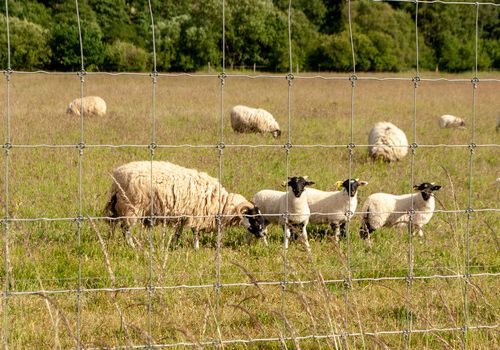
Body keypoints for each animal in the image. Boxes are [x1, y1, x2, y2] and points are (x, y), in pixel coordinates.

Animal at [104, 160, 268, 250]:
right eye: (254, 218)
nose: (265, 234)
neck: (221, 203)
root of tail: (116, 178)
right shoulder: (197, 214)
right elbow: (195, 232)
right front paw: (196, 248)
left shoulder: (184, 215)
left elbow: (178, 231)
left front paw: (174, 244)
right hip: (132, 207)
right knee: (125, 228)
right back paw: (132, 246)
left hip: (118, 206)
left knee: (114, 224)